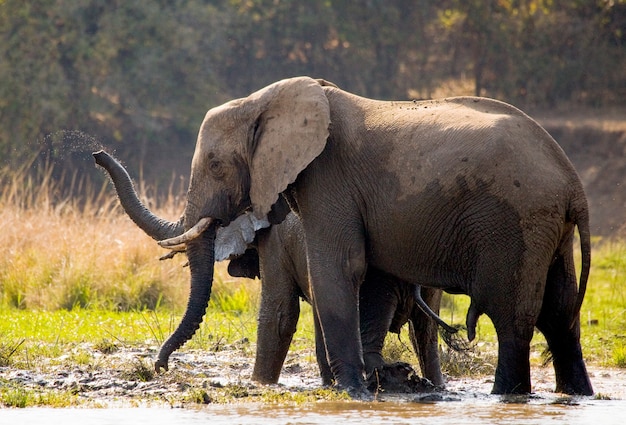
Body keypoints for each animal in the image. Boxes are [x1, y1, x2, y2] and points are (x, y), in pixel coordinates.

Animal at [94, 150, 448, 390]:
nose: (160, 367)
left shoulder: (277, 242)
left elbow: (279, 315)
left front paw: (259, 384)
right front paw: (327, 385)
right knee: (424, 330)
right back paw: (430, 386)